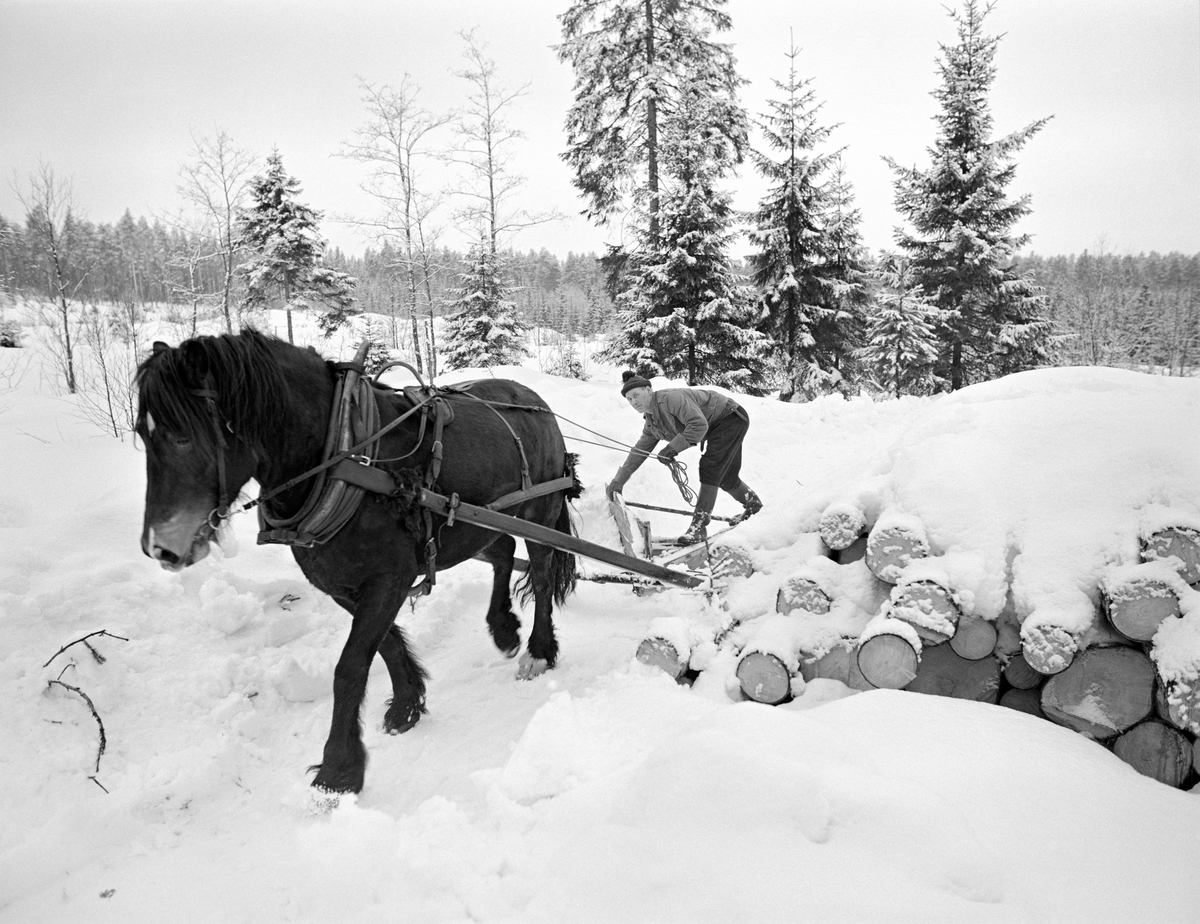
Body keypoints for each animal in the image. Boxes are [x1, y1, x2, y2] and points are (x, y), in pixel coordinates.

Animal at [133, 326, 578, 787]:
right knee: (504, 553)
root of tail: (538, 402)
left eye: (183, 435)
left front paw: (338, 768)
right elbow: (386, 647)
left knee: (542, 574)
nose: (159, 547)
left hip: (539, 512)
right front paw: (406, 706)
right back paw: (504, 628)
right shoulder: (342, 585)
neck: (343, 454)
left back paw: (539, 651)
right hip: (478, 521)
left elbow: (349, 667)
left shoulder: (388, 580)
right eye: (143, 435)